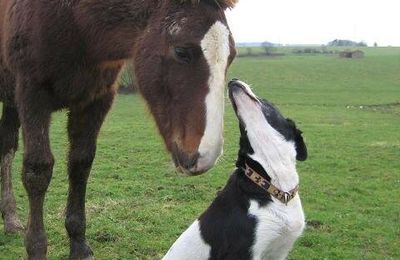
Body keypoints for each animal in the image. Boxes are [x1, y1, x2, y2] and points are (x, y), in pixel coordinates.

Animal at [0, 0, 238, 258]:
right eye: (182, 52)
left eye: (231, 56)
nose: (206, 156)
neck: (76, 22)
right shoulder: (32, 95)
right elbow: (38, 170)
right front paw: (36, 248)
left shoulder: (97, 99)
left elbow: (80, 164)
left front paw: (79, 245)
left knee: (7, 147)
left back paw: (10, 219)